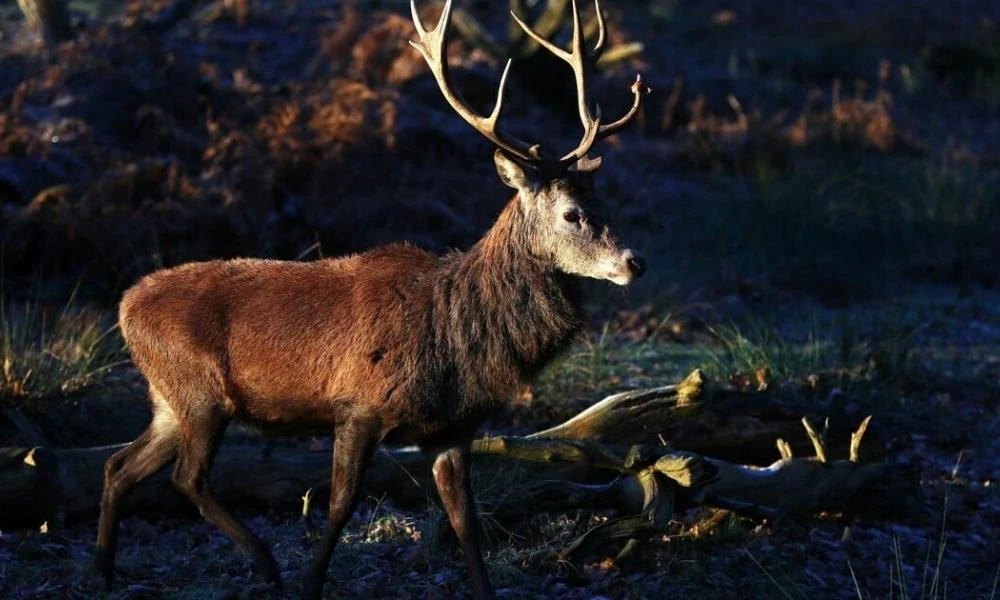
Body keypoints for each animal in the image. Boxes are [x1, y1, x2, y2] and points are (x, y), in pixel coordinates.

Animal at [95, 1, 648, 600]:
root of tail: (124, 306)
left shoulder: (453, 428)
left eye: (605, 202)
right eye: (572, 213)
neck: (453, 336)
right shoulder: (358, 405)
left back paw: (104, 569)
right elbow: (341, 505)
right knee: (187, 478)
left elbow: (465, 521)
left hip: (167, 399)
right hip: (200, 392)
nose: (632, 262)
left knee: (120, 465)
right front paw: (310, 582)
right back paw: (265, 564)